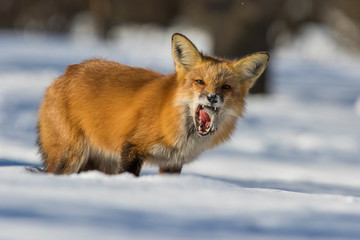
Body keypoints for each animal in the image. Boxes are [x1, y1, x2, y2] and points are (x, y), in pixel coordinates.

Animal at [37, 33, 268, 176]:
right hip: (71, 155)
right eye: (200, 82)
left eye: (226, 87)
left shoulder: (172, 164)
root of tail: (66, 73)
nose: (212, 97)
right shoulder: (132, 148)